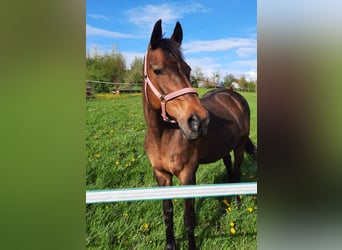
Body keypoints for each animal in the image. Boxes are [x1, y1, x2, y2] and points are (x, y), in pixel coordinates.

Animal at [142, 20, 256, 250]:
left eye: (187, 69)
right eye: (157, 70)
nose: (199, 121)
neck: (163, 137)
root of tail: (233, 94)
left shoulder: (188, 176)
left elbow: (189, 217)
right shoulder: (161, 175)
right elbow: (167, 213)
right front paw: (170, 245)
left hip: (239, 146)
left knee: (237, 169)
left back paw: (236, 202)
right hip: (224, 147)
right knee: (228, 166)